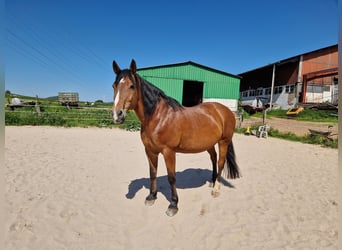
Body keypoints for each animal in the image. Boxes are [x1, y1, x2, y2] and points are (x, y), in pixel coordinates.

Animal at [112, 59, 240, 216]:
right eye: (114, 86)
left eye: (131, 86)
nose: (117, 115)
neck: (158, 117)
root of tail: (225, 110)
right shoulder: (150, 151)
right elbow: (152, 173)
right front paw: (151, 196)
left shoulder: (169, 152)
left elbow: (171, 177)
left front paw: (173, 205)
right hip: (209, 143)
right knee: (214, 158)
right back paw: (212, 181)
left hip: (224, 142)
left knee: (221, 162)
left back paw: (216, 188)